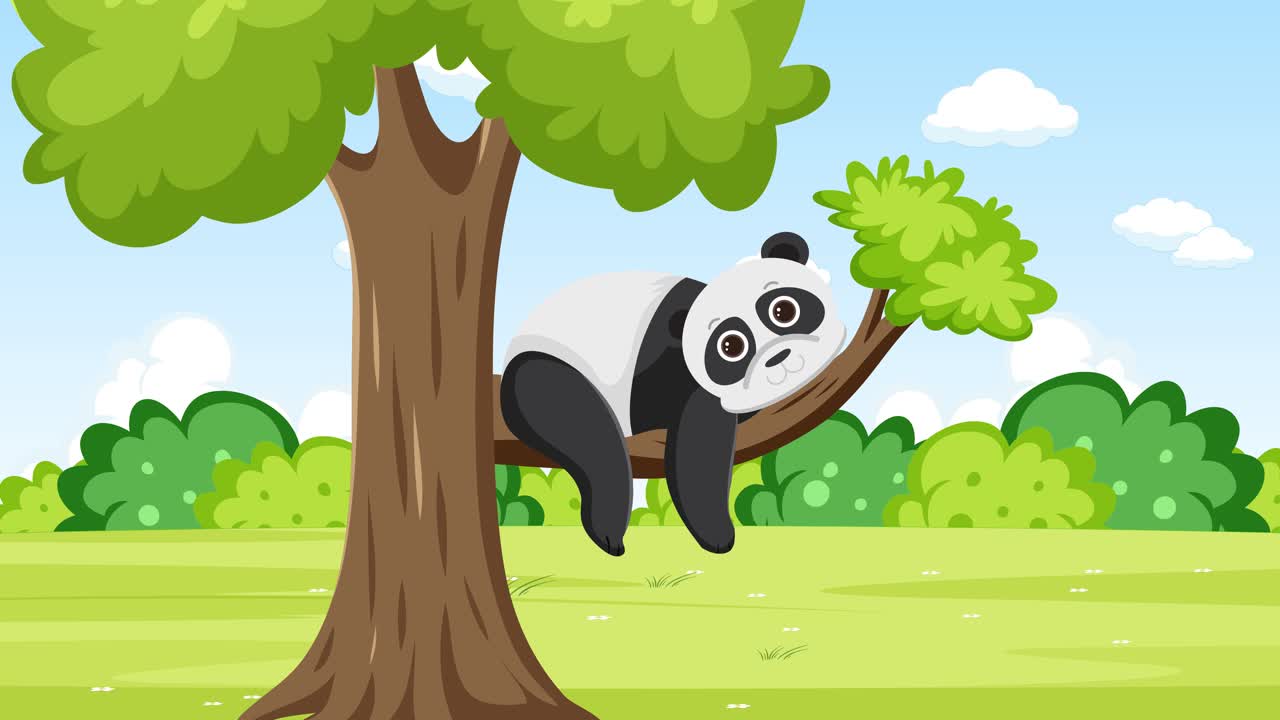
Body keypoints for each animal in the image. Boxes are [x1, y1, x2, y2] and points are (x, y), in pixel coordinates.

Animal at [500, 232, 845, 556]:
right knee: (590, 435)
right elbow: (698, 448)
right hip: (549, 373)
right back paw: (609, 532)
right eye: (730, 346)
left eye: (784, 310)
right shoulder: (680, 375)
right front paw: (717, 536)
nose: (778, 357)